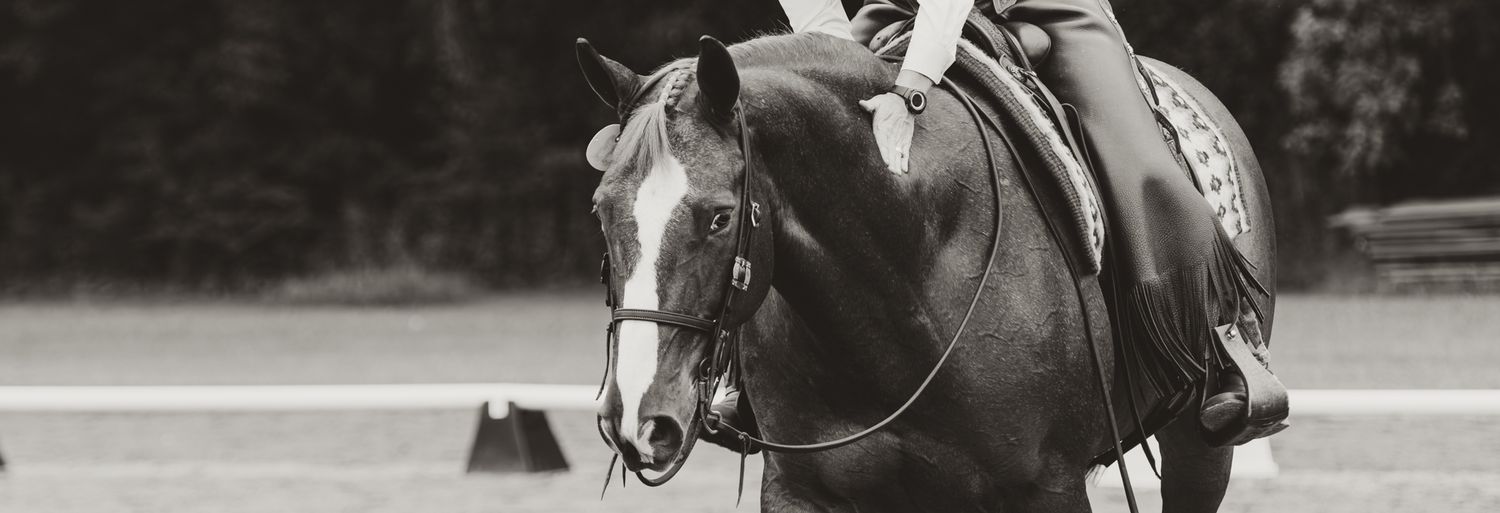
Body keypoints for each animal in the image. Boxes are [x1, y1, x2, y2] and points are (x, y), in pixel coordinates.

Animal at [583, 30, 1276, 512]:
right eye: (601, 208)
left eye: (721, 217)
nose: (639, 417)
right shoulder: (803, 490)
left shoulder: (1047, 486)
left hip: (1200, 446)